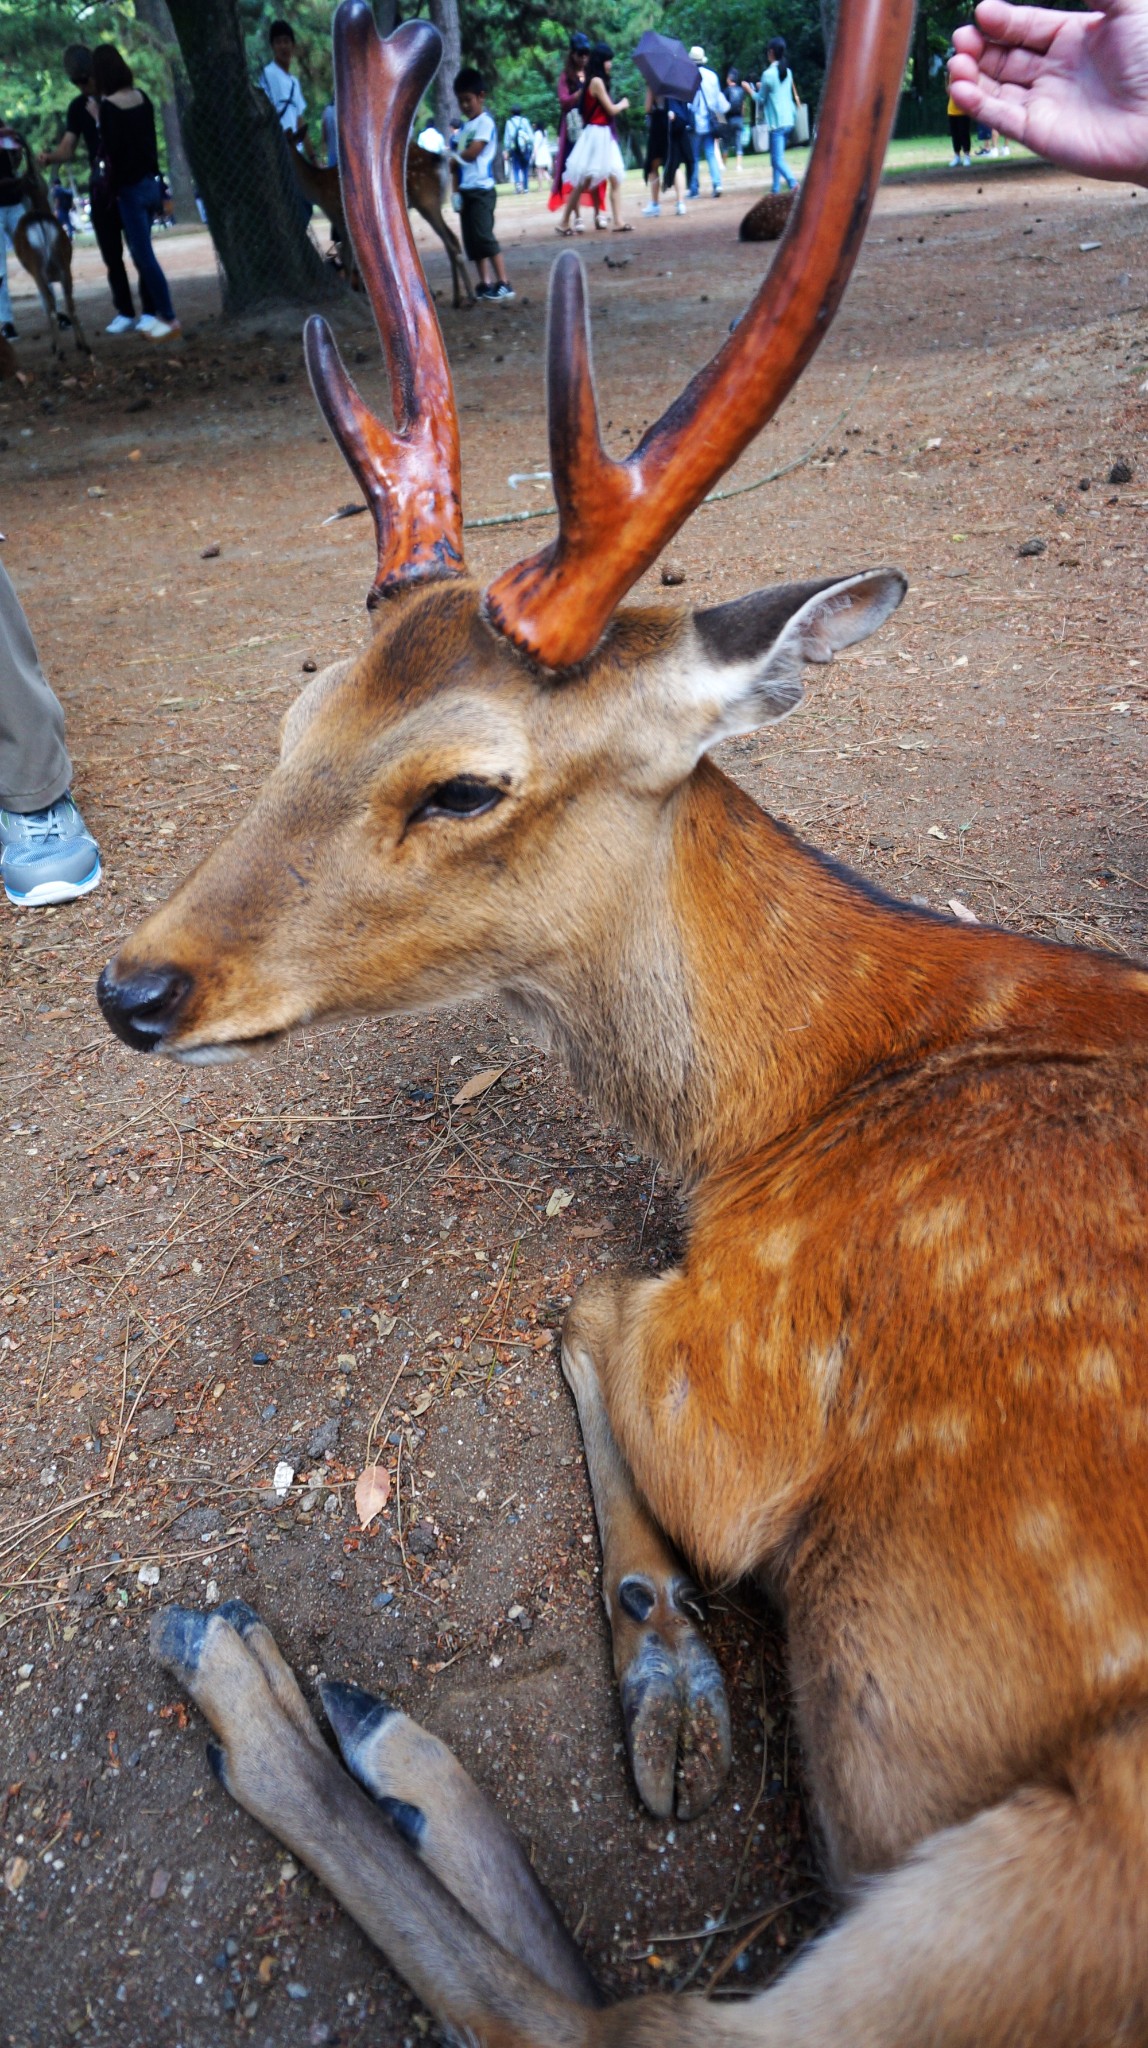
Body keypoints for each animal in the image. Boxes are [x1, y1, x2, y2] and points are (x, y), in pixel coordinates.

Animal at [296, 138, 476, 305]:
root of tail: (439, 157)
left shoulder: (340, 218)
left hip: (426, 200)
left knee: (449, 241)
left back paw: (465, 296)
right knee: (450, 240)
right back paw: (459, 297)